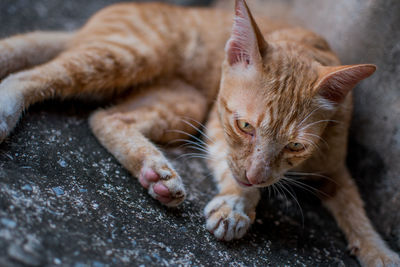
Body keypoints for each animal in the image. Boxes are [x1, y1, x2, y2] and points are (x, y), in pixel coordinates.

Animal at [0, 1, 398, 266]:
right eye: (245, 126)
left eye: (296, 145)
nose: (257, 176)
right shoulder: (217, 127)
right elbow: (234, 172)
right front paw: (237, 205)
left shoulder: (334, 170)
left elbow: (356, 209)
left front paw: (378, 251)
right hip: (129, 55)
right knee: (34, 75)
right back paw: (7, 106)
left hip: (181, 103)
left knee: (106, 117)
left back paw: (155, 172)